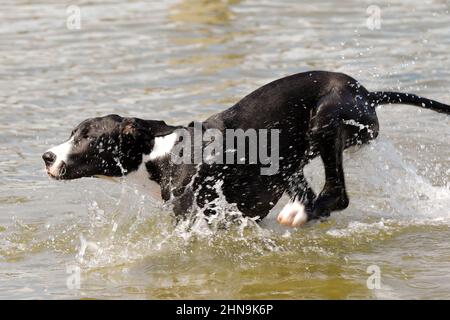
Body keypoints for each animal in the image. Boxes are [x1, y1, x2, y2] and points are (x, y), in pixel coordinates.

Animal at [43, 71, 450, 229]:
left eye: (85, 137)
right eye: (72, 133)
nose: (47, 156)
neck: (159, 154)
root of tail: (366, 92)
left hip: (325, 120)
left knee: (337, 193)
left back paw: (302, 213)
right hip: (289, 157)